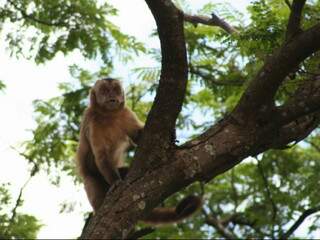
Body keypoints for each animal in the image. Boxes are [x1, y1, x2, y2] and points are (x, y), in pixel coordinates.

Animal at [76, 78, 201, 224]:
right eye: (105, 91)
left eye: (115, 90)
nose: (112, 96)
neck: (109, 115)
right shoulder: (92, 120)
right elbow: (101, 155)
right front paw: (115, 182)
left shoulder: (126, 113)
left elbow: (137, 137)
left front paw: (171, 135)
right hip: (92, 179)